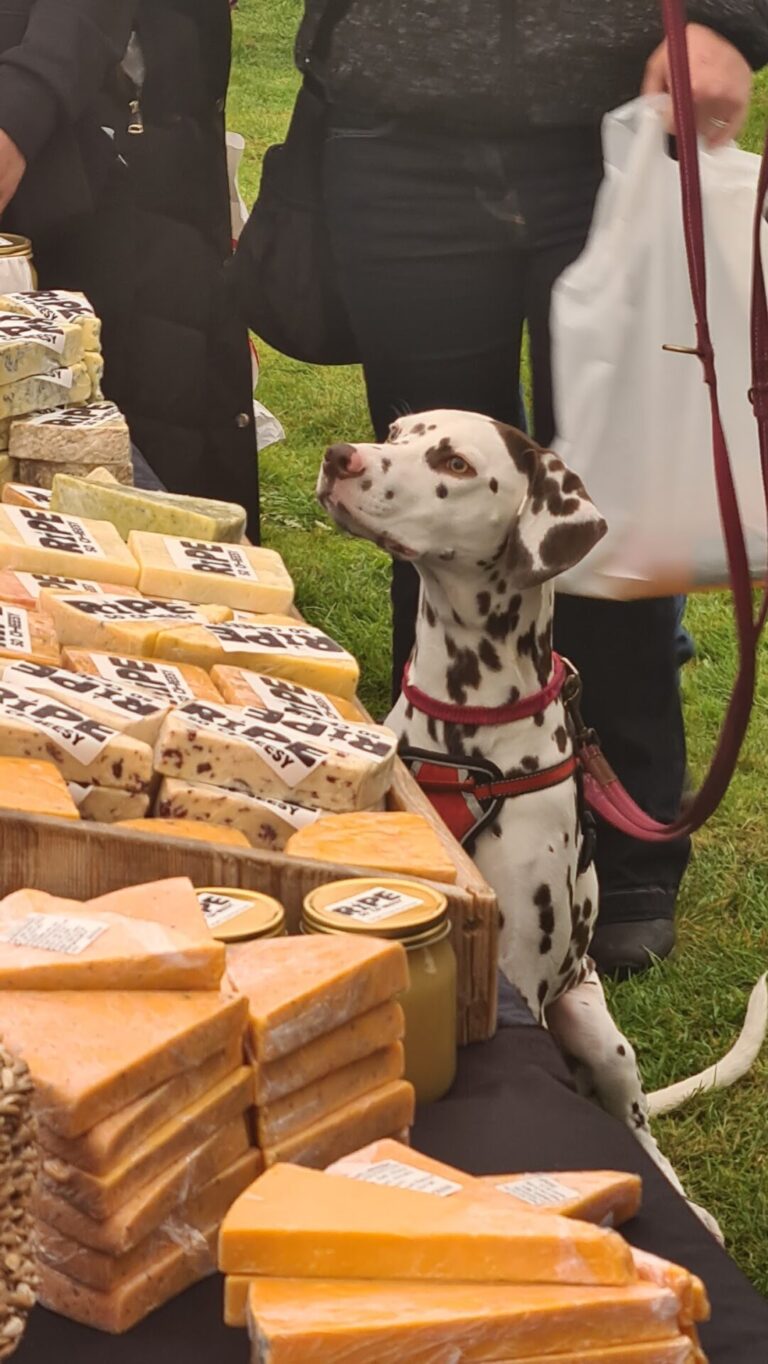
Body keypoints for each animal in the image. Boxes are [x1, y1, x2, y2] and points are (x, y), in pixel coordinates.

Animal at [319, 406, 763, 1238]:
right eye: (396, 432)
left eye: (455, 463)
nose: (341, 458)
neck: (466, 737)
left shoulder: (521, 973)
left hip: (595, 1028)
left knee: (641, 1135)